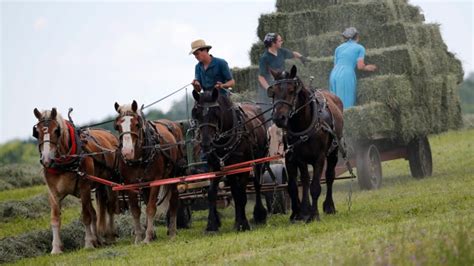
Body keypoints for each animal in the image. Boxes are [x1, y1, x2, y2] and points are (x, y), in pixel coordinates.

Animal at [32, 107, 119, 254]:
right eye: (36, 131)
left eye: (57, 130)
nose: (46, 160)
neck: (64, 163)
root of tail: (110, 135)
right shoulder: (53, 192)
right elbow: (55, 218)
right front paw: (56, 248)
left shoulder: (84, 188)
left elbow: (86, 216)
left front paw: (88, 243)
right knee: (95, 213)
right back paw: (97, 240)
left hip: (108, 182)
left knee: (110, 207)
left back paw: (110, 236)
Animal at [114, 100, 184, 243]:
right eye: (117, 126)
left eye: (137, 124)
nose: (127, 152)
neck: (139, 159)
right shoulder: (130, 184)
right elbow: (135, 210)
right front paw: (139, 238)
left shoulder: (155, 181)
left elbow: (151, 208)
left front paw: (146, 238)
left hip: (174, 175)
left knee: (173, 201)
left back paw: (172, 232)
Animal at [191, 88, 268, 232]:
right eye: (196, 113)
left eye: (216, 113)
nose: (205, 143)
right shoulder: (216, 167)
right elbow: (212, 193)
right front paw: (212, 225)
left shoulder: (244, 167)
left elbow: (242, 195)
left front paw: (243, 224)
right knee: (234, 190)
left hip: (259, 162)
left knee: (256, 185)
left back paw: (259, 215)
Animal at [268, 65, 342, 222]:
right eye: (273, 93)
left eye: (291, 91)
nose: (278, 118)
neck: (303, 125)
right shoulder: (297, 157)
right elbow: (300, 184)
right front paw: (302, 213)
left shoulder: (319, 158)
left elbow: (315, 186)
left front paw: (314, 214)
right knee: (306, 181)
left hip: (333, 151)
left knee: (329, 176)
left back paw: (329, 206)